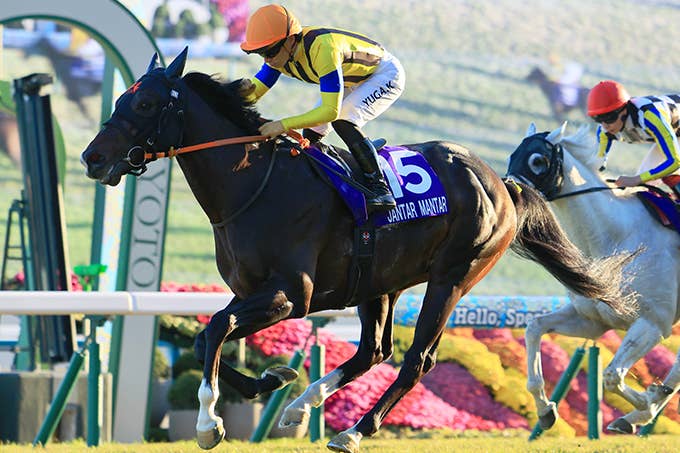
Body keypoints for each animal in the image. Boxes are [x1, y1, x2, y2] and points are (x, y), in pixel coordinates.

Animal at [81, 49, 635, 452]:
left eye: (145, 104)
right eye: (122, 99)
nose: (92, 157)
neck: (252, 185)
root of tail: (501, 181)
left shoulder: (291, 296)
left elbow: (216, 328)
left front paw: (208, 424)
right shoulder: (250, 292)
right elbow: (204, 337)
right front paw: (272, 379)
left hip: (453, 277)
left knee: (416, 360)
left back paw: (351, 431)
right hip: (380, 282)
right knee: (374, 350)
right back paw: (301, 405)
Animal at [506, 122, 680, 435]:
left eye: (537, 160)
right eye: (511, 156)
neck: (614, 238)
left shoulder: (653, 324)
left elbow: (612, 376)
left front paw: (647, 402)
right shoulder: (592, 320)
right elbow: (534, 328)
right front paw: (545, 410)